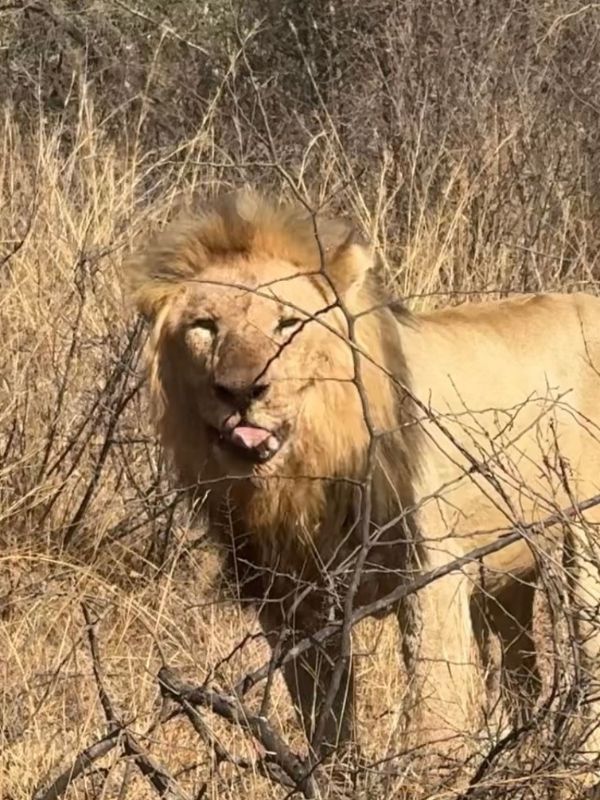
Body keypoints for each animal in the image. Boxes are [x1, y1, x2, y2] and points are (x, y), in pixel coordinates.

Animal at [124, 188, 600, 782]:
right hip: (508, 571)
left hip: (583, 546)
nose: (240, 391)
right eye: (205, 326)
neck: (302, 476)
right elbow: (323, 718)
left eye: (287, 324)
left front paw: (433, 781)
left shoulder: (432, 576)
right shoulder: (291, 601)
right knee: (522, 672)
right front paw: (329, 777)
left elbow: (435, 711)